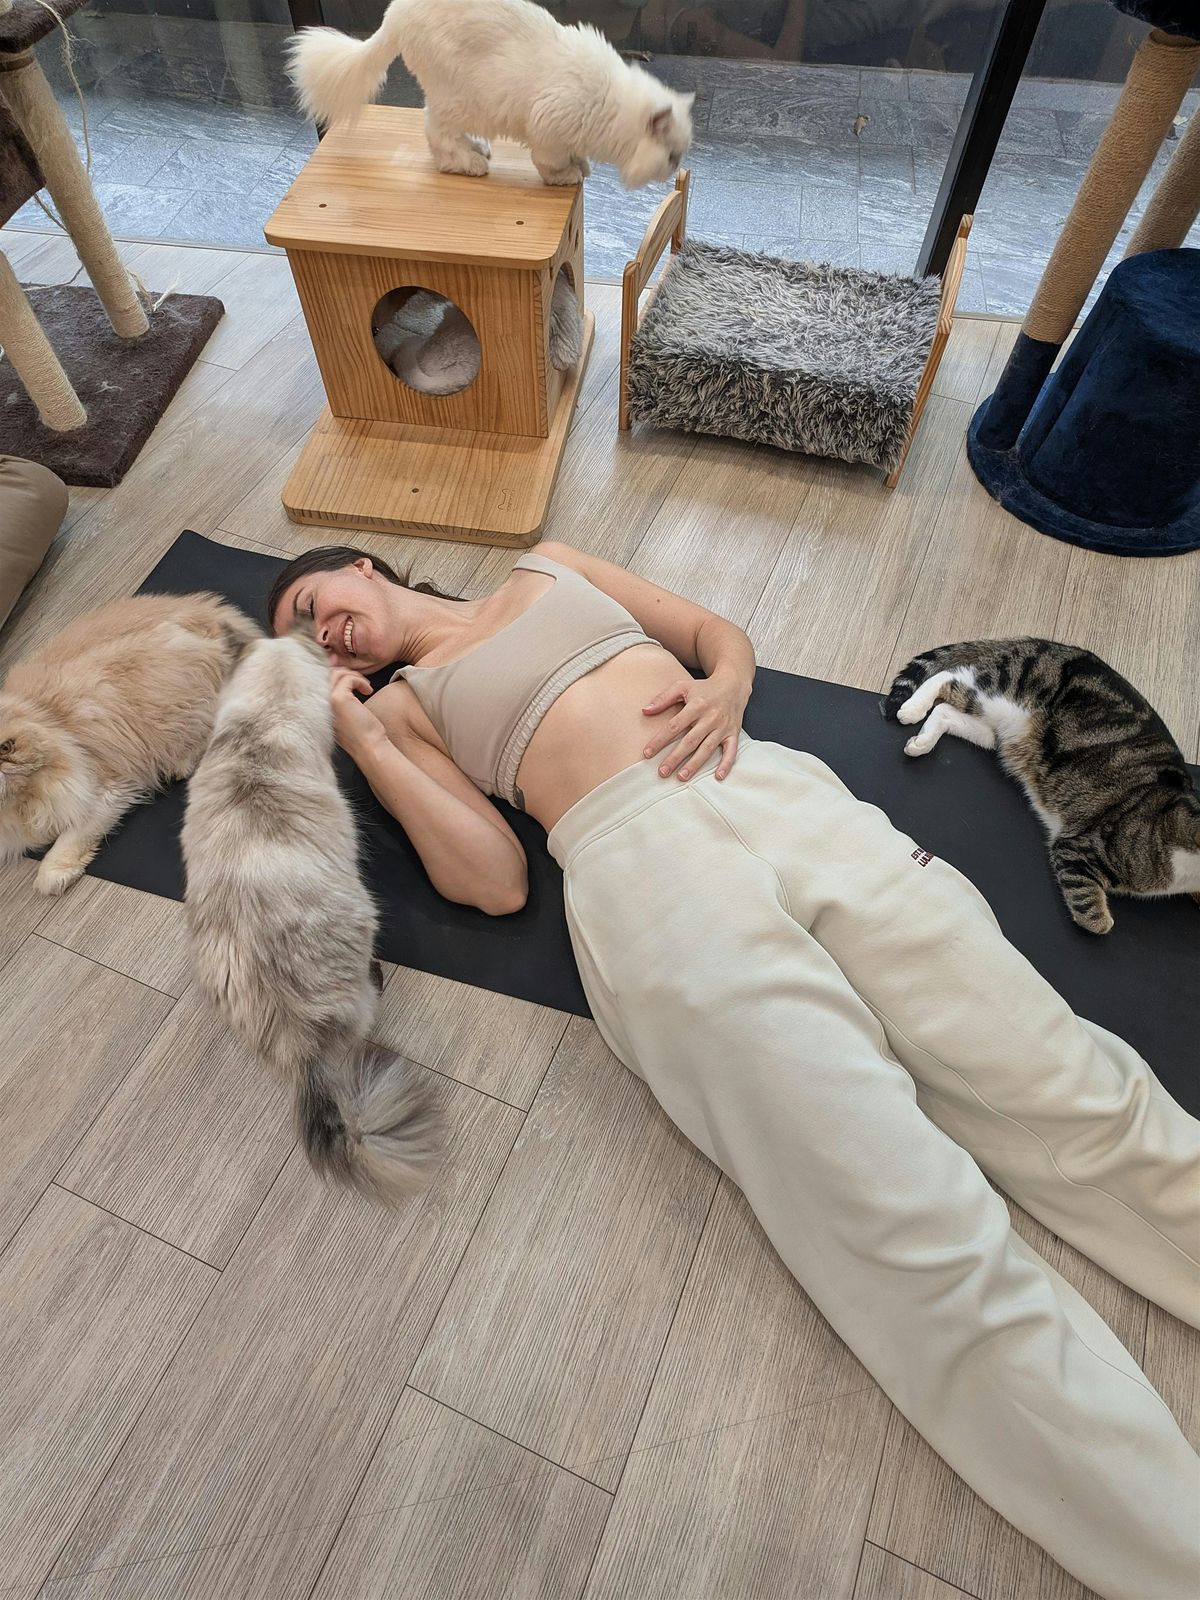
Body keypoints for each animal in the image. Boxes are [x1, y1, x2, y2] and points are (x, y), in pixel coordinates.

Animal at [0, 592, 258, 896]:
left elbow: (69, 839)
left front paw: (54, 874)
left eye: (6, 747)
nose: (3, 769)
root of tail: (205, 610)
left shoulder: (104, 791)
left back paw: (182, 764)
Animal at [287, 0, 693, 188]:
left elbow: (575, 156)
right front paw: (569, 177)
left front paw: (583, 165)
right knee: (436, 136)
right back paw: (471, 163)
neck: (611, 107)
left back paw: (479, 150)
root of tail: (394, 16)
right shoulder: (548, 130)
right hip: (460, 99)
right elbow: (551, 164)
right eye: (672, 156)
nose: (674, 168)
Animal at [885, 639, 1200, 935]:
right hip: (1004, 693)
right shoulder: (1078, 846)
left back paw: (921, 743)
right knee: (950, 677)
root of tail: (1058, 646)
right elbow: (1089, 908)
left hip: (994, 731)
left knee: (945, 711)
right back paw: (911, 709)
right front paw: (1102, 920)